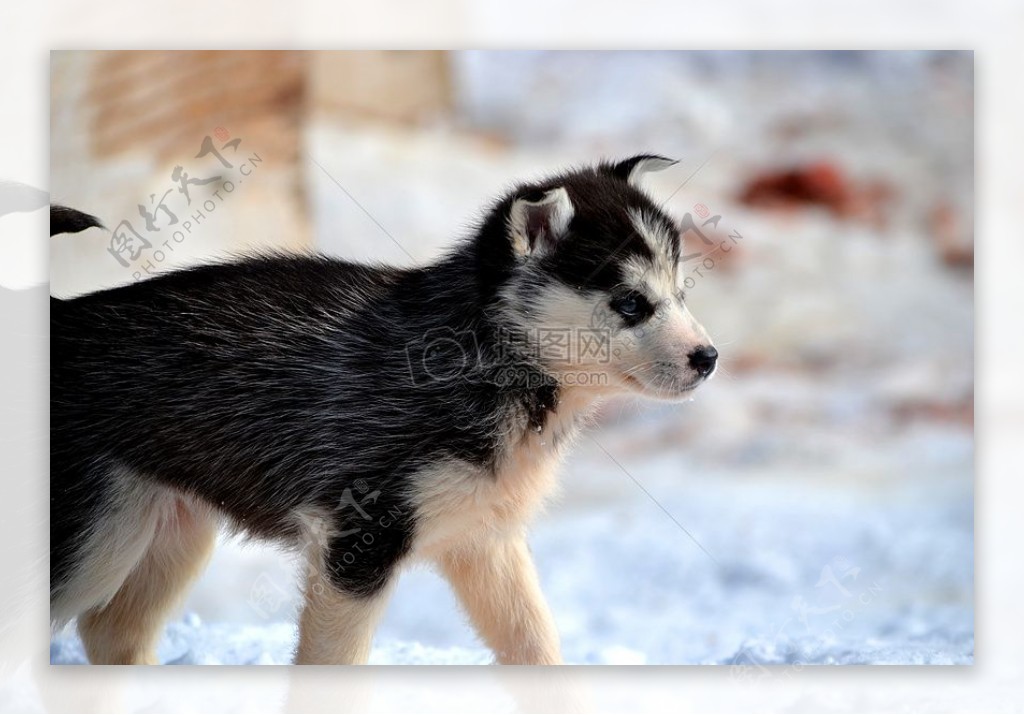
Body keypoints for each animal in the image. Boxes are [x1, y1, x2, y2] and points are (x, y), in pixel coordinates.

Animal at [49, 155, 720, 663]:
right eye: (631, 303)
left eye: (680, 292)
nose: (709, 358)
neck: (490, 357)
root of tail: (60, 314)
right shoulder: (359, 541)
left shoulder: (486, 541)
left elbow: (537, 648)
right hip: (93, 542)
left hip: (166, 531)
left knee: (111, 633)